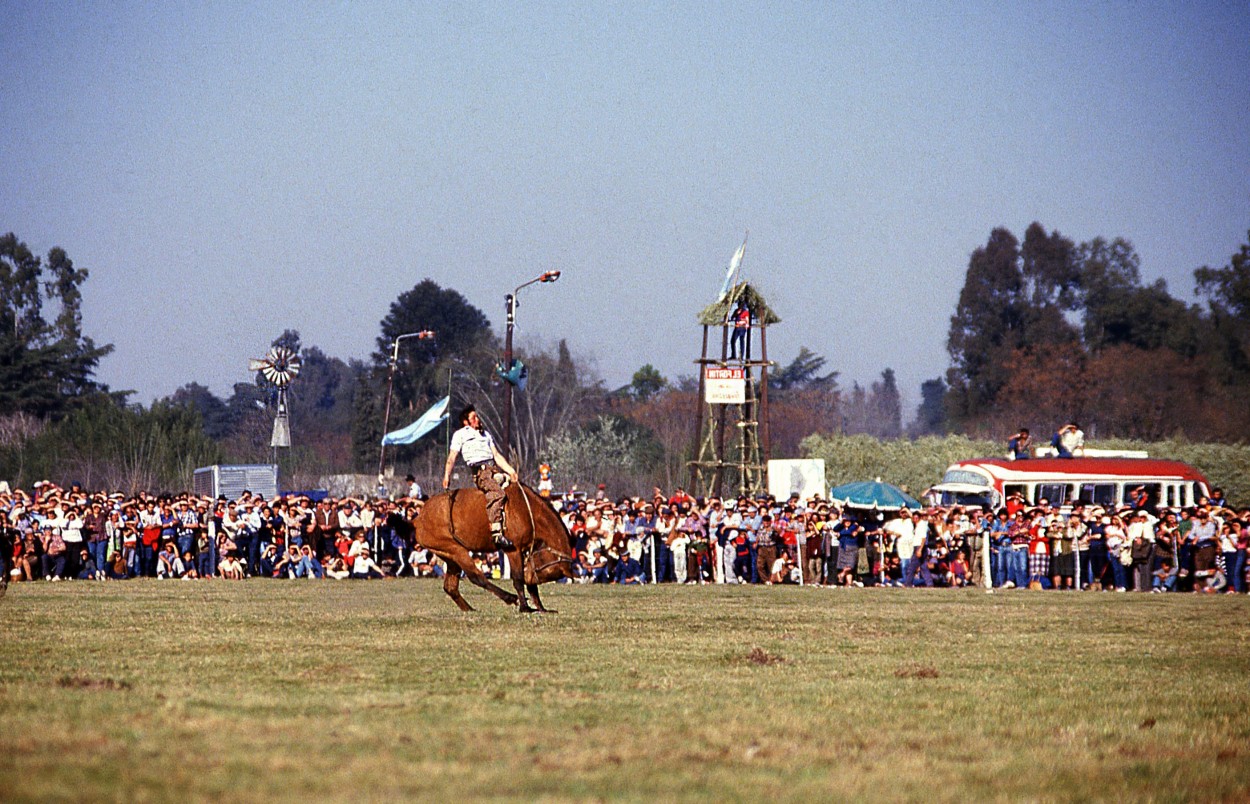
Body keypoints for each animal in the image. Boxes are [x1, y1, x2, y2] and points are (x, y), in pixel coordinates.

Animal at [415, 480, 580, 612]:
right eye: (546, 573)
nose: (530, 579)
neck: (528, 511)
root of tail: (419, 518)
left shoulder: (526, 551)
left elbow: (531, 587)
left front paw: (541, 608)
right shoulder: (514, 550)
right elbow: (518, 579)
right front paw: (525, 607)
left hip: (448, 556)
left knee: (450, 587)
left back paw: (469, 609)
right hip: (455, 549)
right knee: (476, 577)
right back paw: (509, 597)